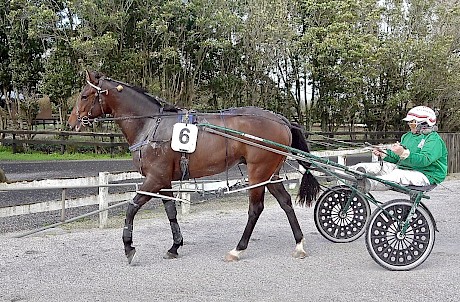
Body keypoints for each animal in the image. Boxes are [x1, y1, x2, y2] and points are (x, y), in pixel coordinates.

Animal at [67, 71, 320, 264]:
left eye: (84, 95)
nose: (71, 122)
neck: (151, 125)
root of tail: (281, 119)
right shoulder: (164, 180)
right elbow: (170, 211)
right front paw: (174, 246)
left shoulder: (154, 179)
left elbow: (131, 207)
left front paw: (129, 247)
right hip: (270, 173)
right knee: (285, 202)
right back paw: (299, 244)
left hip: (258, 172)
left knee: (255, 209)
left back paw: (238, 249)